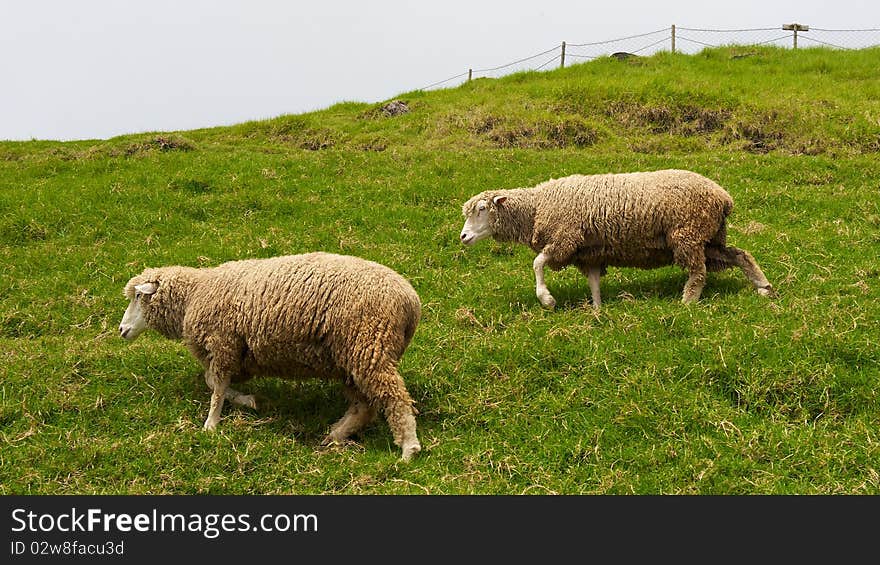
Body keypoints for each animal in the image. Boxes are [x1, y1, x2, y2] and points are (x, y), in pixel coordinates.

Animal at [119, 251, 422, 458]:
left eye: (138, 297)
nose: (122, 329)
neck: (195, 294)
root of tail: (411, 301)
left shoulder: (223, 344)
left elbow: (216, 387)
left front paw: (211, 425)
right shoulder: (233, 353)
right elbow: (213, 381)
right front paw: (249, 401)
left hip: (370, 346)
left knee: (394, 397)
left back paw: (409, 448)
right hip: (352, 358)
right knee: (364, 406)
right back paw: (335, 435)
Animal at [458, 167, 772, 308]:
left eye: (482, 209)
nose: (463, 236)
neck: (537, 208)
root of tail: (723, 197)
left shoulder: (564, 239)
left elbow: (537, 263)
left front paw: (546, 298)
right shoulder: (588, 253)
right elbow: (594, 282)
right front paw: (597, 310)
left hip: (688, 235)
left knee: (698, 272)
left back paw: (687, 302)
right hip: (709, 238)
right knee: (739, 254)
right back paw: (764, 287)